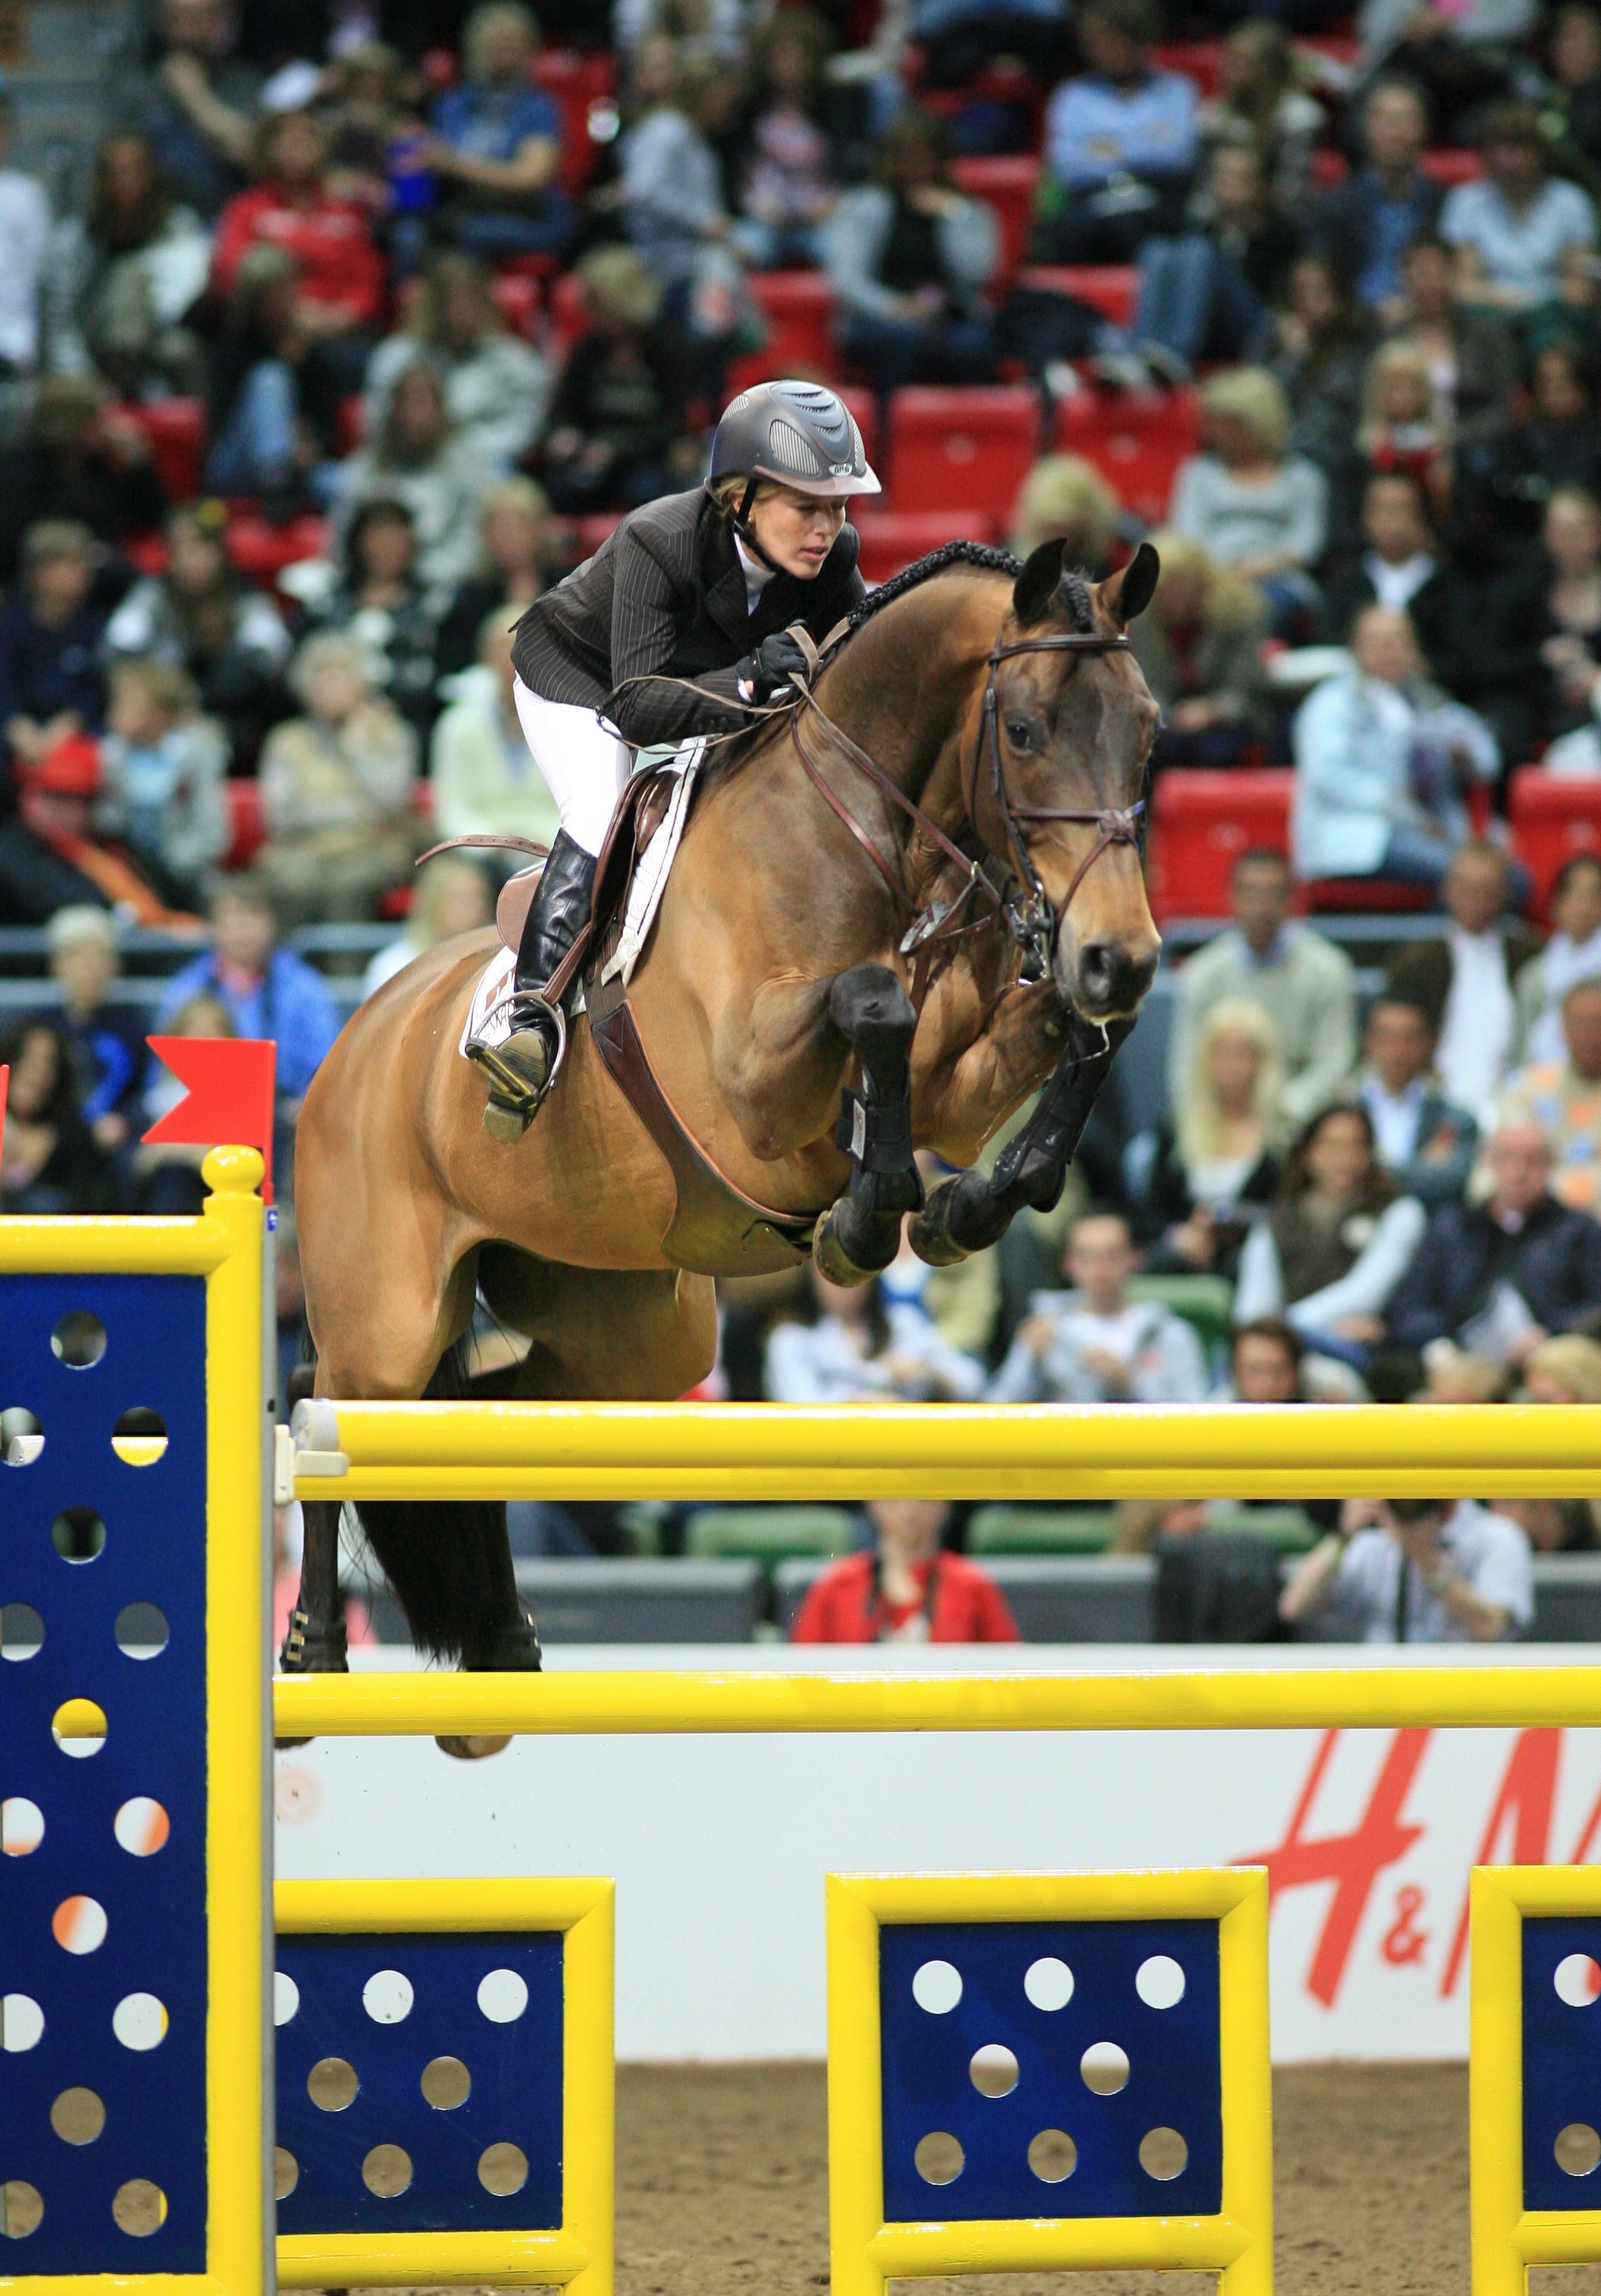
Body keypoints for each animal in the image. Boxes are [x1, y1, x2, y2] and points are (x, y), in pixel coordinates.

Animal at [287, 528, 1162, 1699]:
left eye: (1147, 730)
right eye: (1021, 730)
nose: (1120, 955)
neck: (866, 841)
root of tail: (352, 1039)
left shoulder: (958, 1088)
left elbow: (1057, 1038)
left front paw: (962, 1208)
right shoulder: (752, 1085)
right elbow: (871, 1002)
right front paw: (864, 1217)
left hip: (631, 1330)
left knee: (479, 1409)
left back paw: (503, 1637)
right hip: (385, 1313)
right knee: (331, 1403)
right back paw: (313, 1647)